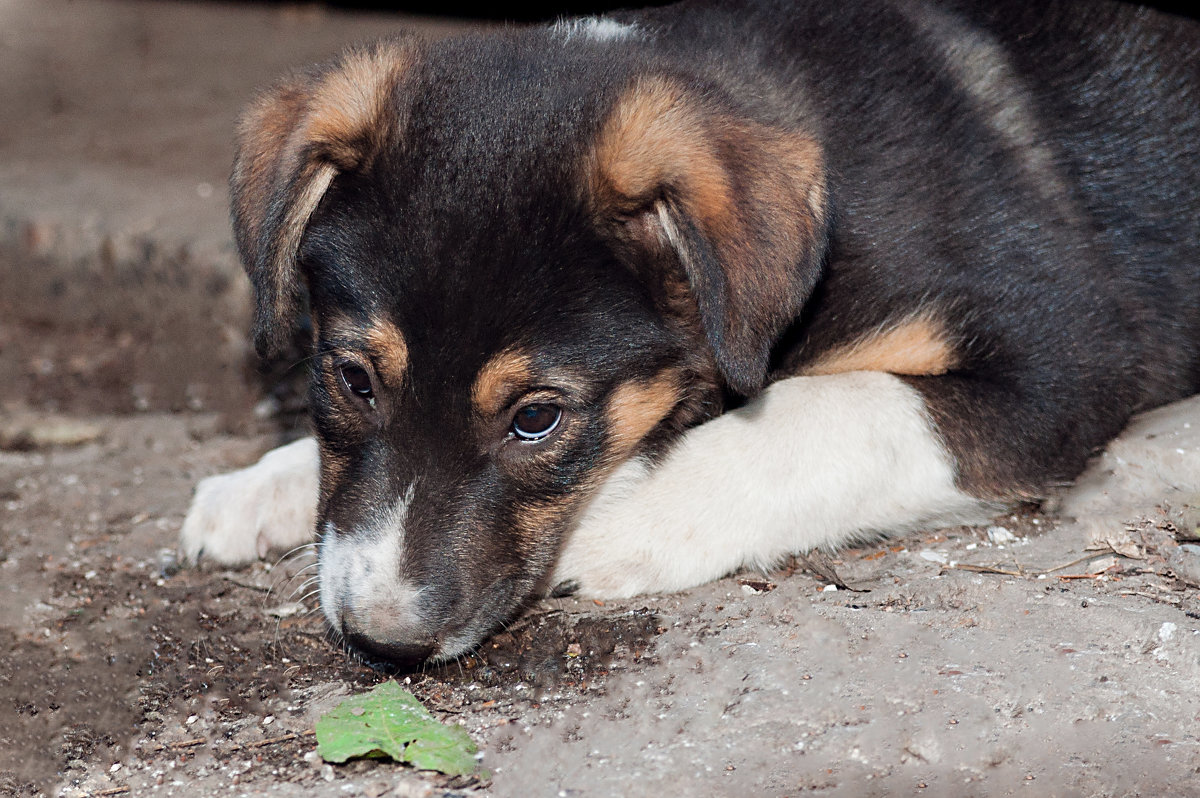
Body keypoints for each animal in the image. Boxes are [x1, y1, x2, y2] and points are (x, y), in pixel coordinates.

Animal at [180, 1, 1200, 667]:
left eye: (538, 418)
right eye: (353, 380)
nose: (382, 641)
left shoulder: (1062, 357)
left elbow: (826, 412)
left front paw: (621, 520)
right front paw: (263, 486)